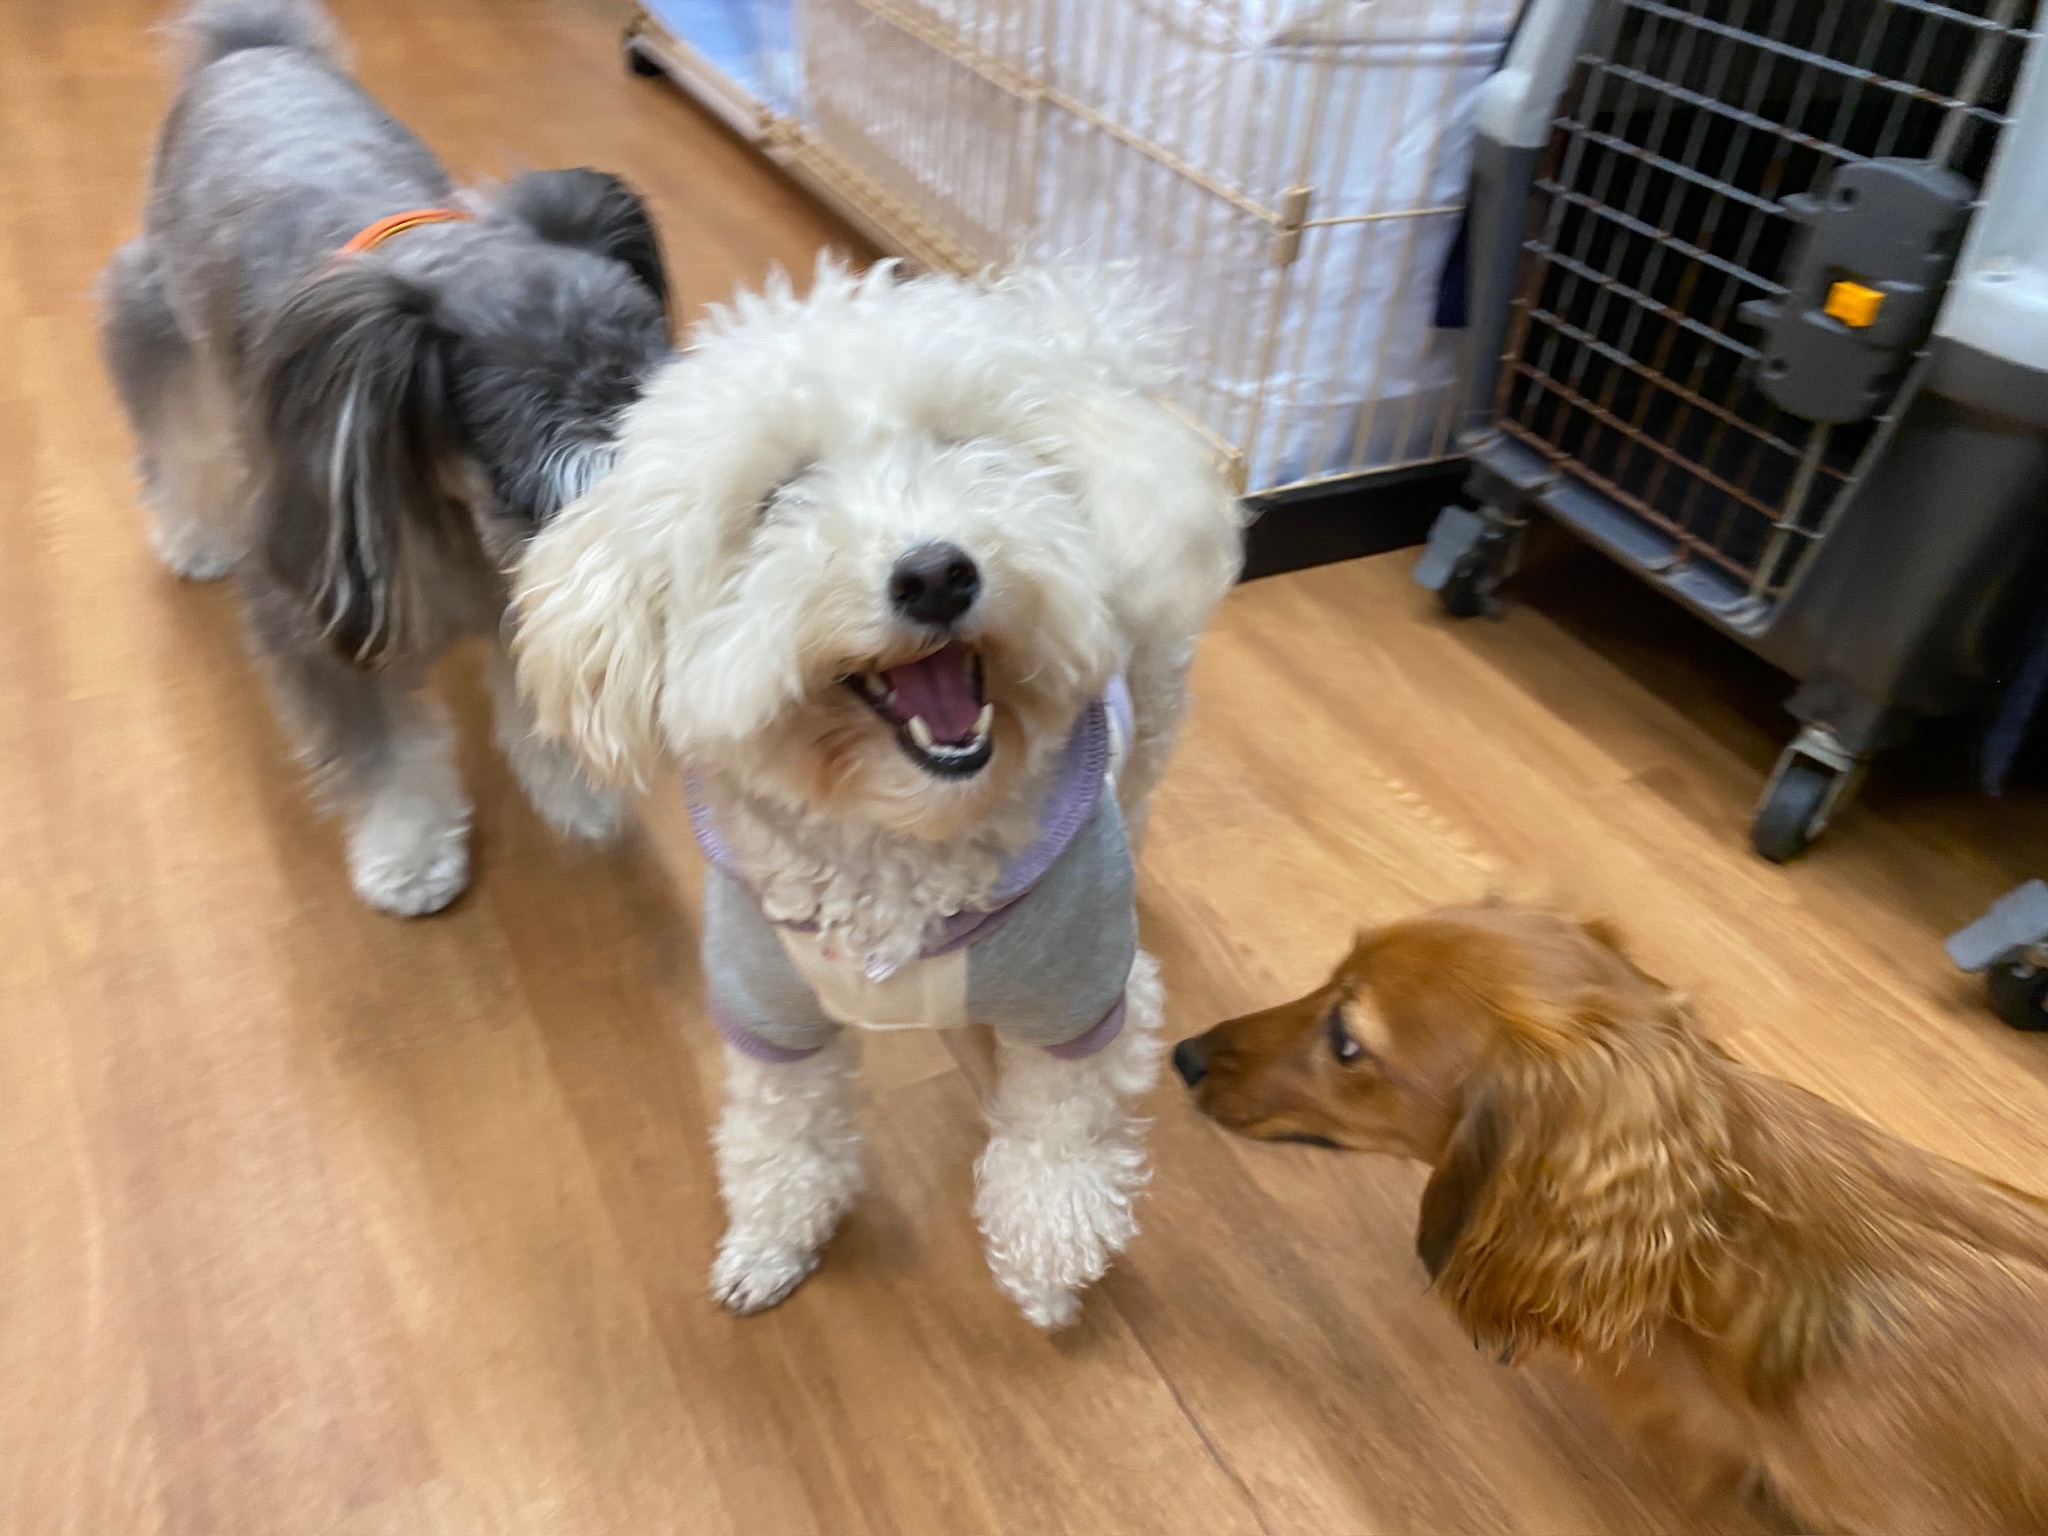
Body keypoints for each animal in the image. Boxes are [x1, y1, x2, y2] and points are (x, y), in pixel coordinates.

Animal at [99, 0, 672, 915]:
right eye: (544, 488)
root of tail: (251, 47)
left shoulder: (523, 598)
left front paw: (576, 792)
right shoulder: (319, 609)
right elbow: (380, 752)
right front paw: (408, 851)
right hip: (151, 313)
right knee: (175, 438)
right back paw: (194, 536)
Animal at [511, 261, 1242, 1327]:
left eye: (969, 450)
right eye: (778, 496)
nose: (937, 572)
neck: (898, 844)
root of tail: (1084, 347)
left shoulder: (1081, 1001)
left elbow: (1058, 1137)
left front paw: (1046, 1263)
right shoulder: (768, 1010)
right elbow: (783, 1136)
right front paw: (770, 1242)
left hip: (1152, 704)